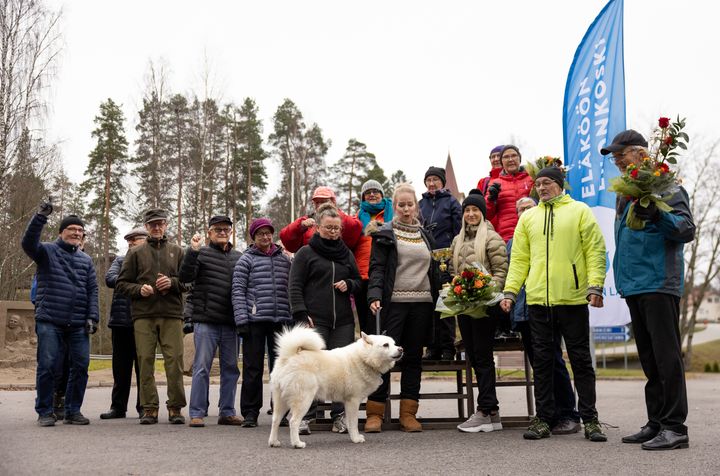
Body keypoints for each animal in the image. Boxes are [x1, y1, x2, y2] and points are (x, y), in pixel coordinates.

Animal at [270, 326, 402, 448]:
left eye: (394, 343)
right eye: (386, 345)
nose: (401, 349)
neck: (364, 358)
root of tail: (289, 356)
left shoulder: (348, 403)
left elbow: (349, 422)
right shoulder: (353, 401)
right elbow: (353, 423)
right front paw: (356, 439)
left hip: (281, 401)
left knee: (275, 420)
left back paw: (273, 442)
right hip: (304, 400)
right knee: (293, 422)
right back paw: (297, 443)